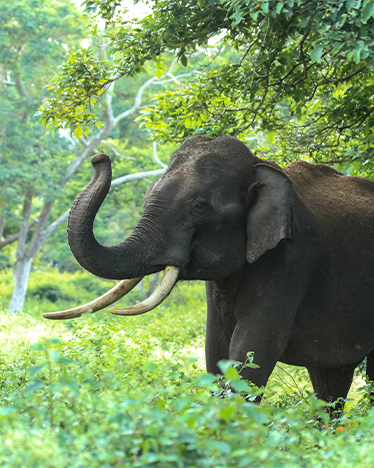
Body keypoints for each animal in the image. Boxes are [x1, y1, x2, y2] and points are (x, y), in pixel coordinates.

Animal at [44, 134, 374, 406]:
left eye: (200, 206)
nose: (99, 157)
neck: (258, 165)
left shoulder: (292, 259)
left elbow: (251, 353)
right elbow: (216, 353)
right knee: (330, 380)